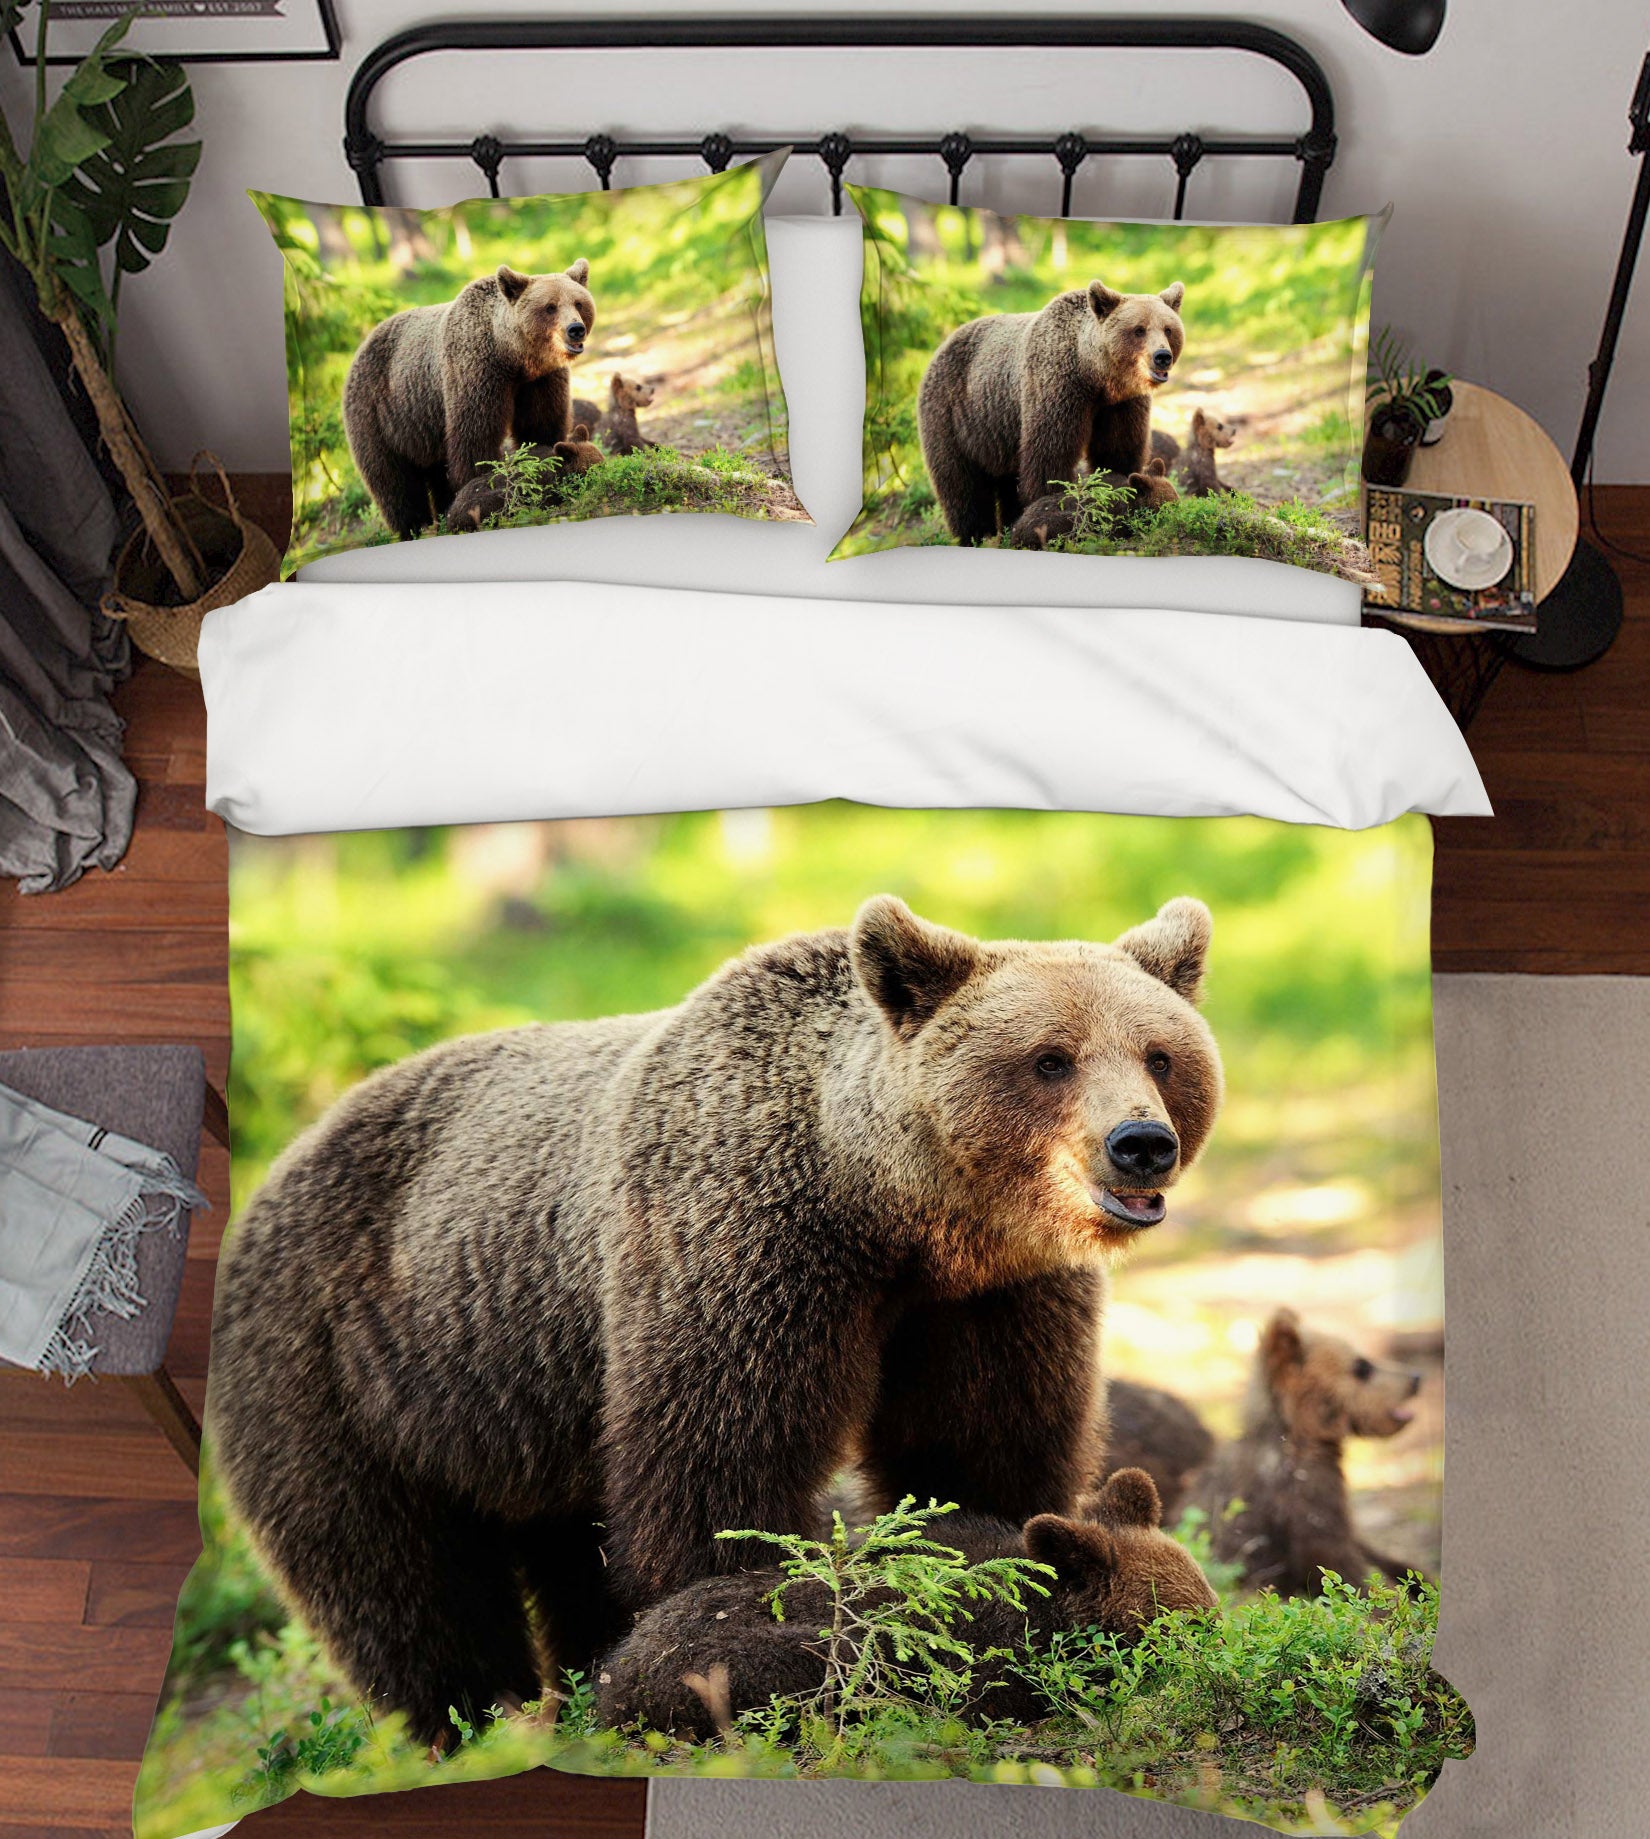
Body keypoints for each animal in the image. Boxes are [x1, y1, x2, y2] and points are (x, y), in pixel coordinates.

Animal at [594, 1470, 1217, 1737]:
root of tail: (615, 1679)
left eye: (1208, 1614)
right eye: (1185, 1625)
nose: (1219, 1654)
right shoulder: (990, 1665)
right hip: (780, 1656)